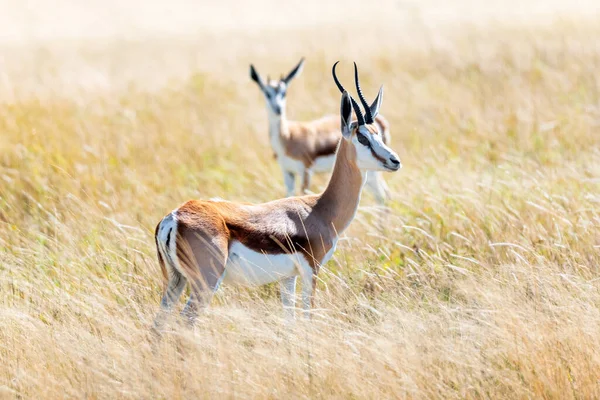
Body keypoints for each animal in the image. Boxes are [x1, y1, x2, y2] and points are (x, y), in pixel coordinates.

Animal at [250, 57, 394, 205]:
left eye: (284, 93)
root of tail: (381, 120)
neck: (287, 136)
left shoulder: (306, 171)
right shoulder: (287, 172)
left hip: (372, 173)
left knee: (382, 196)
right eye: (267, 93)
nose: (278, 109)